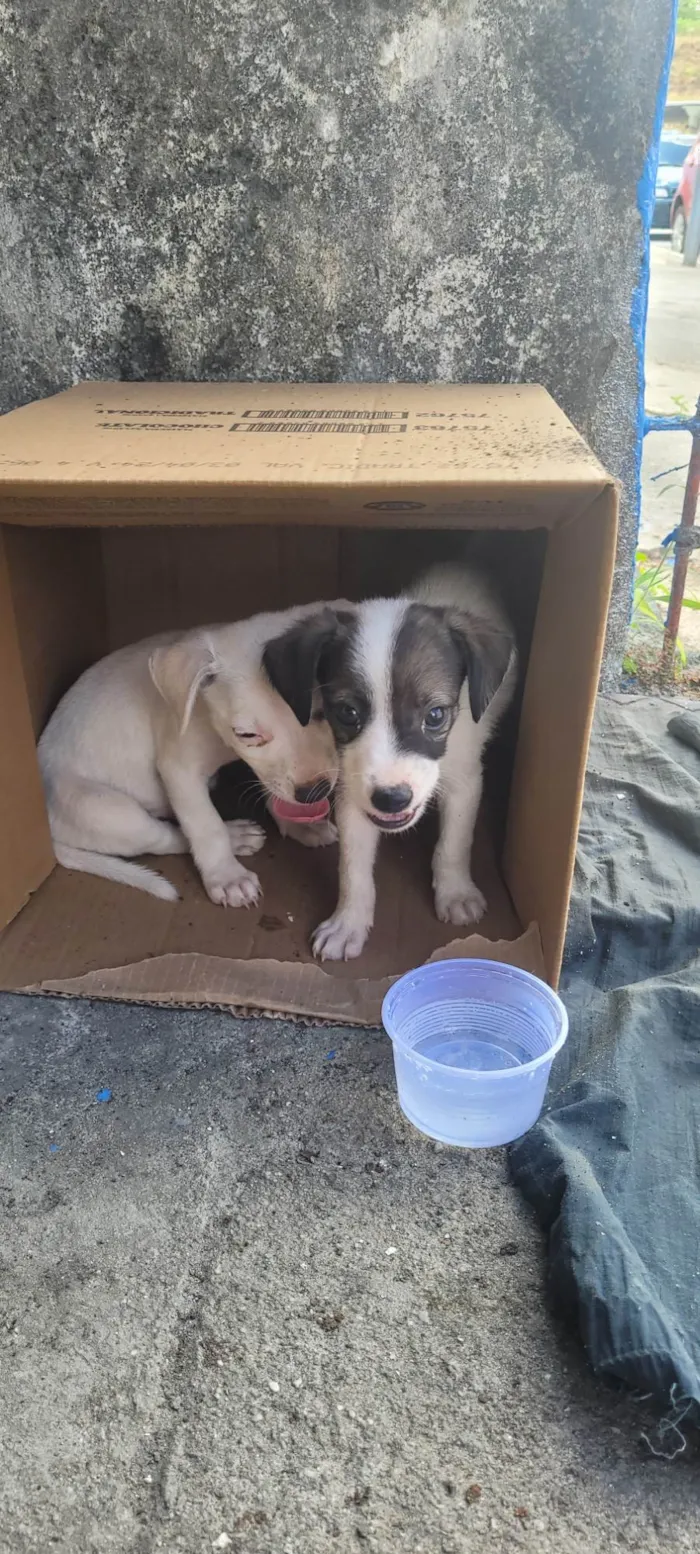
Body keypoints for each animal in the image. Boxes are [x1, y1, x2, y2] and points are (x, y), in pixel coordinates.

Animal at [38, 599, 353, 907]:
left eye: (322, 713)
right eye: (247, 735)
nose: (313, 794)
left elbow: (274, 788)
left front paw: (299, 826)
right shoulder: (179, 770)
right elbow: (204, 824)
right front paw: (227, 877)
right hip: (106, 811)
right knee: (164, 837)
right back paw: (235, 836)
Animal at [309, 565, 516, 957]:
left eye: (435, 715)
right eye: (347, 712)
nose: (392, 799)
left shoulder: (466, 781)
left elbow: (454, 843)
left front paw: (455, 893)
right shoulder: (353, 792)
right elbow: (352, 867)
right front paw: (348, 922)